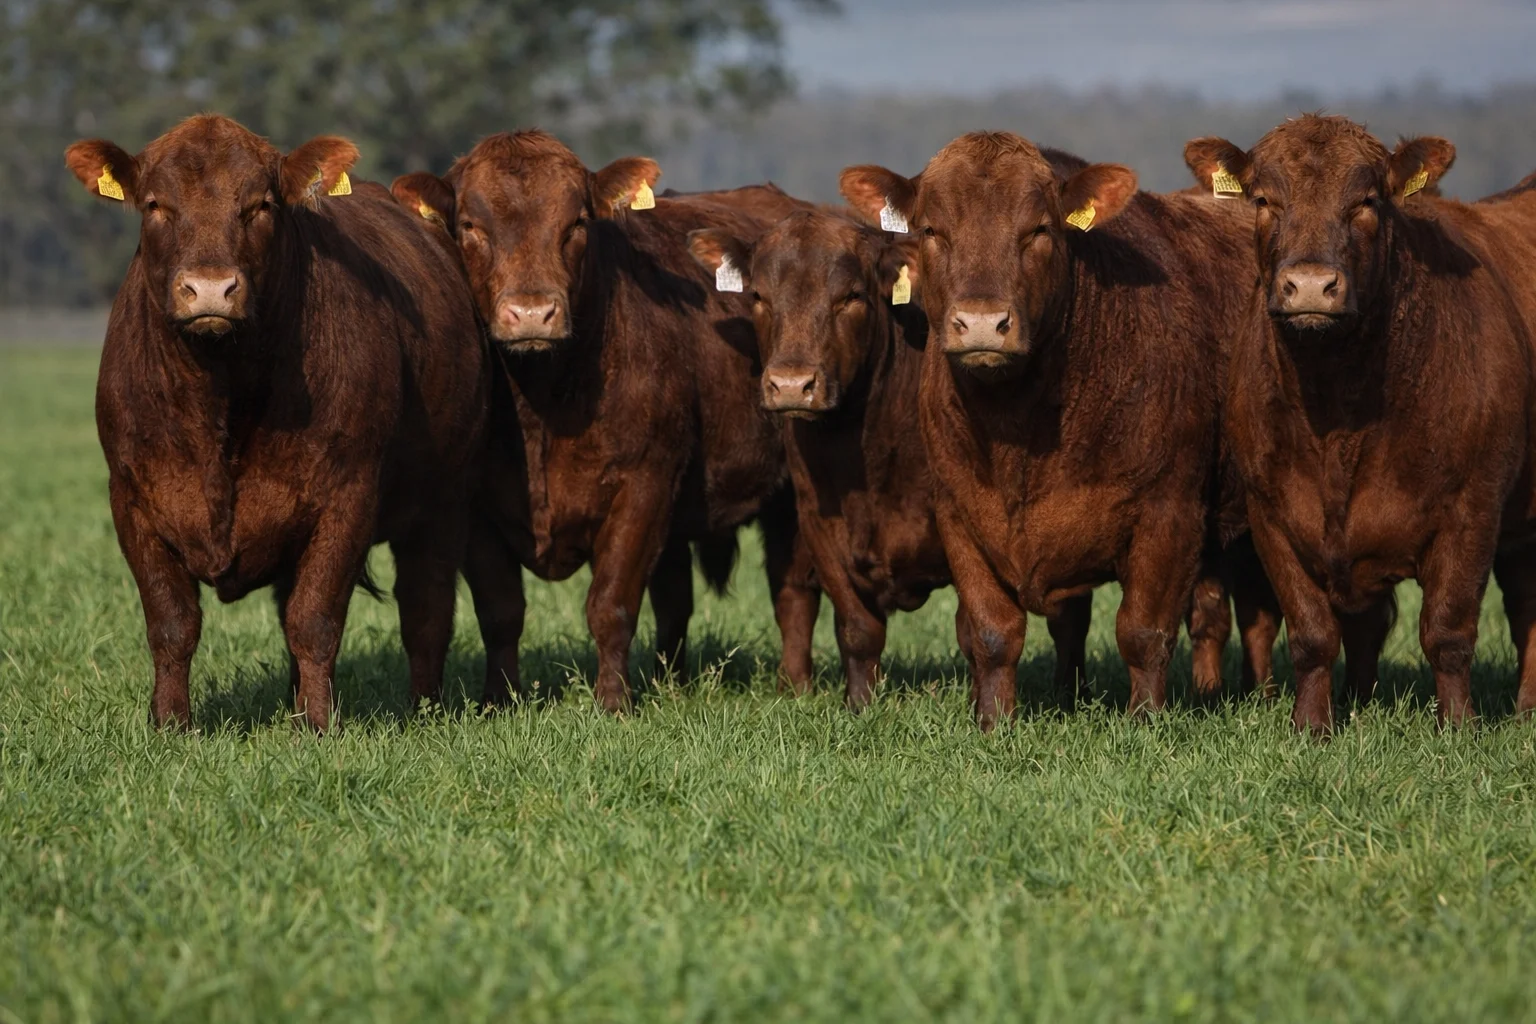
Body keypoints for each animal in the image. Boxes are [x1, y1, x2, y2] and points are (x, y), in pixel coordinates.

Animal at [64, 114, 488, 731]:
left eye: (260, 205)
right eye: (155, 205)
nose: (210, 288)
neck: (222, 395)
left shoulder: (347, 497)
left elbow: (315, 620)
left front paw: (318, 725)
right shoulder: (133, 498)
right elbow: (172, 624)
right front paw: (170, 724)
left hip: (443, 501)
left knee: (425, 609)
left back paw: (424, 708)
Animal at [390, 131, 819, 713]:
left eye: (576, 222)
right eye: (471, 226)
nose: (532, 313)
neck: (543, 405)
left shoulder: (644, 484)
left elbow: (611, 603)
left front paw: (613, 702)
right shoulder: (477, 504)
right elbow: (500, 610)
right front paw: (499, 699)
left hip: (791, 494)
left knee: (793, 590)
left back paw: (794, 686)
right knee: (675, 600)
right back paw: (670, 684)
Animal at [840, 132, 1248, 730]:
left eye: (1038, 229)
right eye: (931, 230)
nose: (982, 323)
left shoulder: (1169, 512)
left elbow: (1144, 632)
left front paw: (1145, 723)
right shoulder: (958, 515)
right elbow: (992, 634)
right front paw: (993, 722)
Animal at [1184, 113, 1536, 732]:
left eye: (1367, 201)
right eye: (1264, 200)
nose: (1310, 286)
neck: (1338, 420)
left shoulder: (1474, 507)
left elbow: (1448, 630)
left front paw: (1458, 728)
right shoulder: (1272, 513)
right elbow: (1313, 633)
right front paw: (1312, 725)